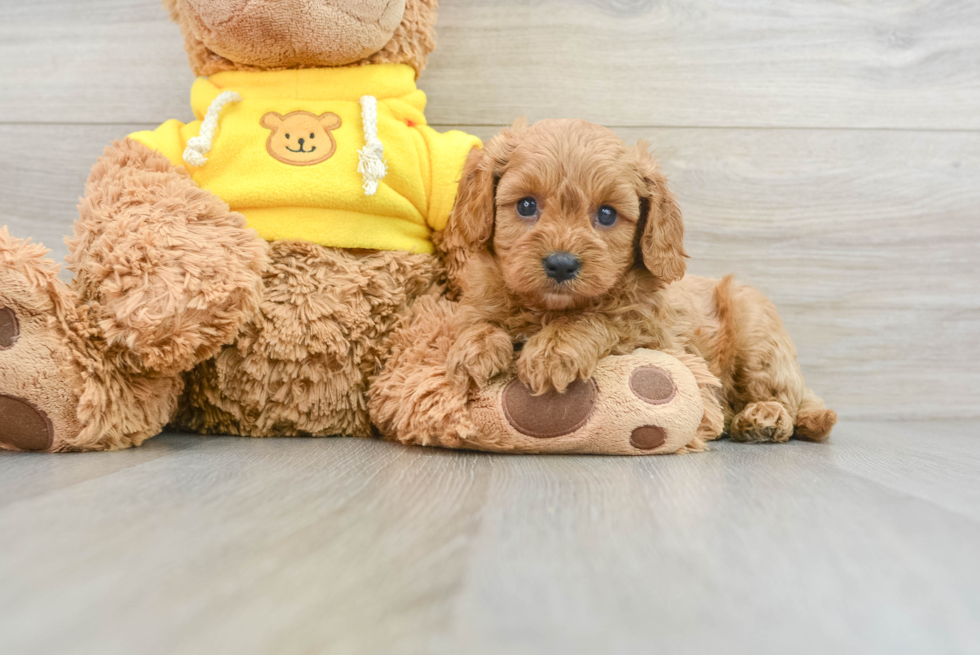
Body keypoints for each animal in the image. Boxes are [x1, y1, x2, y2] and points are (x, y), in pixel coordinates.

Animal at [442, 119, 836, 446]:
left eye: (606, 214)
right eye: (526, 205)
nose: (561, 264)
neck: (549, 308)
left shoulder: (652, 332)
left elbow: (600, 318)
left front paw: (552, 351)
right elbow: (477, 319)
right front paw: (474, 348)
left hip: (756, 332)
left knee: (784, 397)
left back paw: (765, 417)